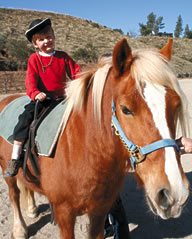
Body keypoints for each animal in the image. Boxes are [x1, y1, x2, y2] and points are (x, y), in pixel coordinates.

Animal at [0, 38, 190, 238]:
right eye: (125, 109)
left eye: (175, 105)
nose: (174, 194)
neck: (84, 150)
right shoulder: (64, 213)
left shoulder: (100, 211)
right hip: (6, 168)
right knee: (14, 193)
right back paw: (20, 229)